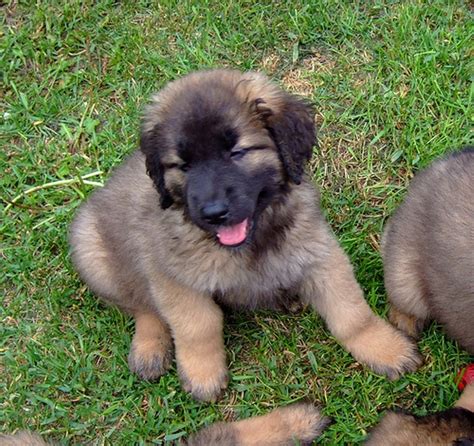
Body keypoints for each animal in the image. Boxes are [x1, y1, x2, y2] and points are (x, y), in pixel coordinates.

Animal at [69, 69, 418, 400]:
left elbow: (352, 314)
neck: (252, 240)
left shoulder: (319, 253)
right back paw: (150, 349)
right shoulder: (172, 277)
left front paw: (386, 349)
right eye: (183, 165)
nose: (213, 212)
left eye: (237, 152)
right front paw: (203, 374)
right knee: (141, 306)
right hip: (91, 250)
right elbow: (198, 326)